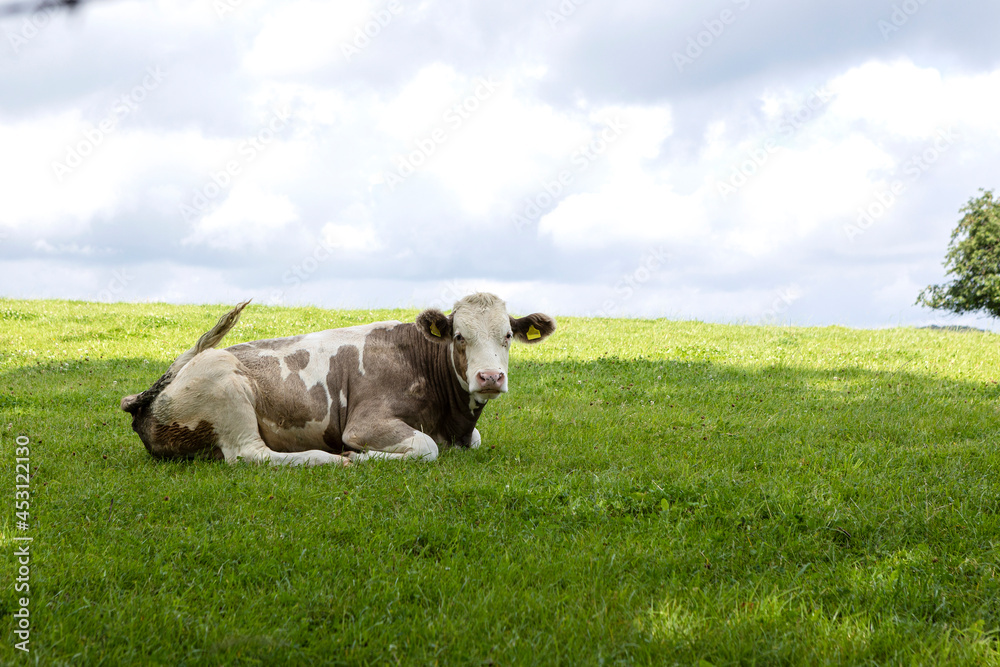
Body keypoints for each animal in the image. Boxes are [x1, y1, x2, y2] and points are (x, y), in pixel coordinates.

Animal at [120, 293, 556, 465]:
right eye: (460, 337)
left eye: (507, 335)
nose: (490, 376)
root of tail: (146, 398)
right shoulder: (367, 423)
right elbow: (426, 447)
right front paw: (360, 455)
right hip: (228, 389)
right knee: (252, 455)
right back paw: (332, 458)